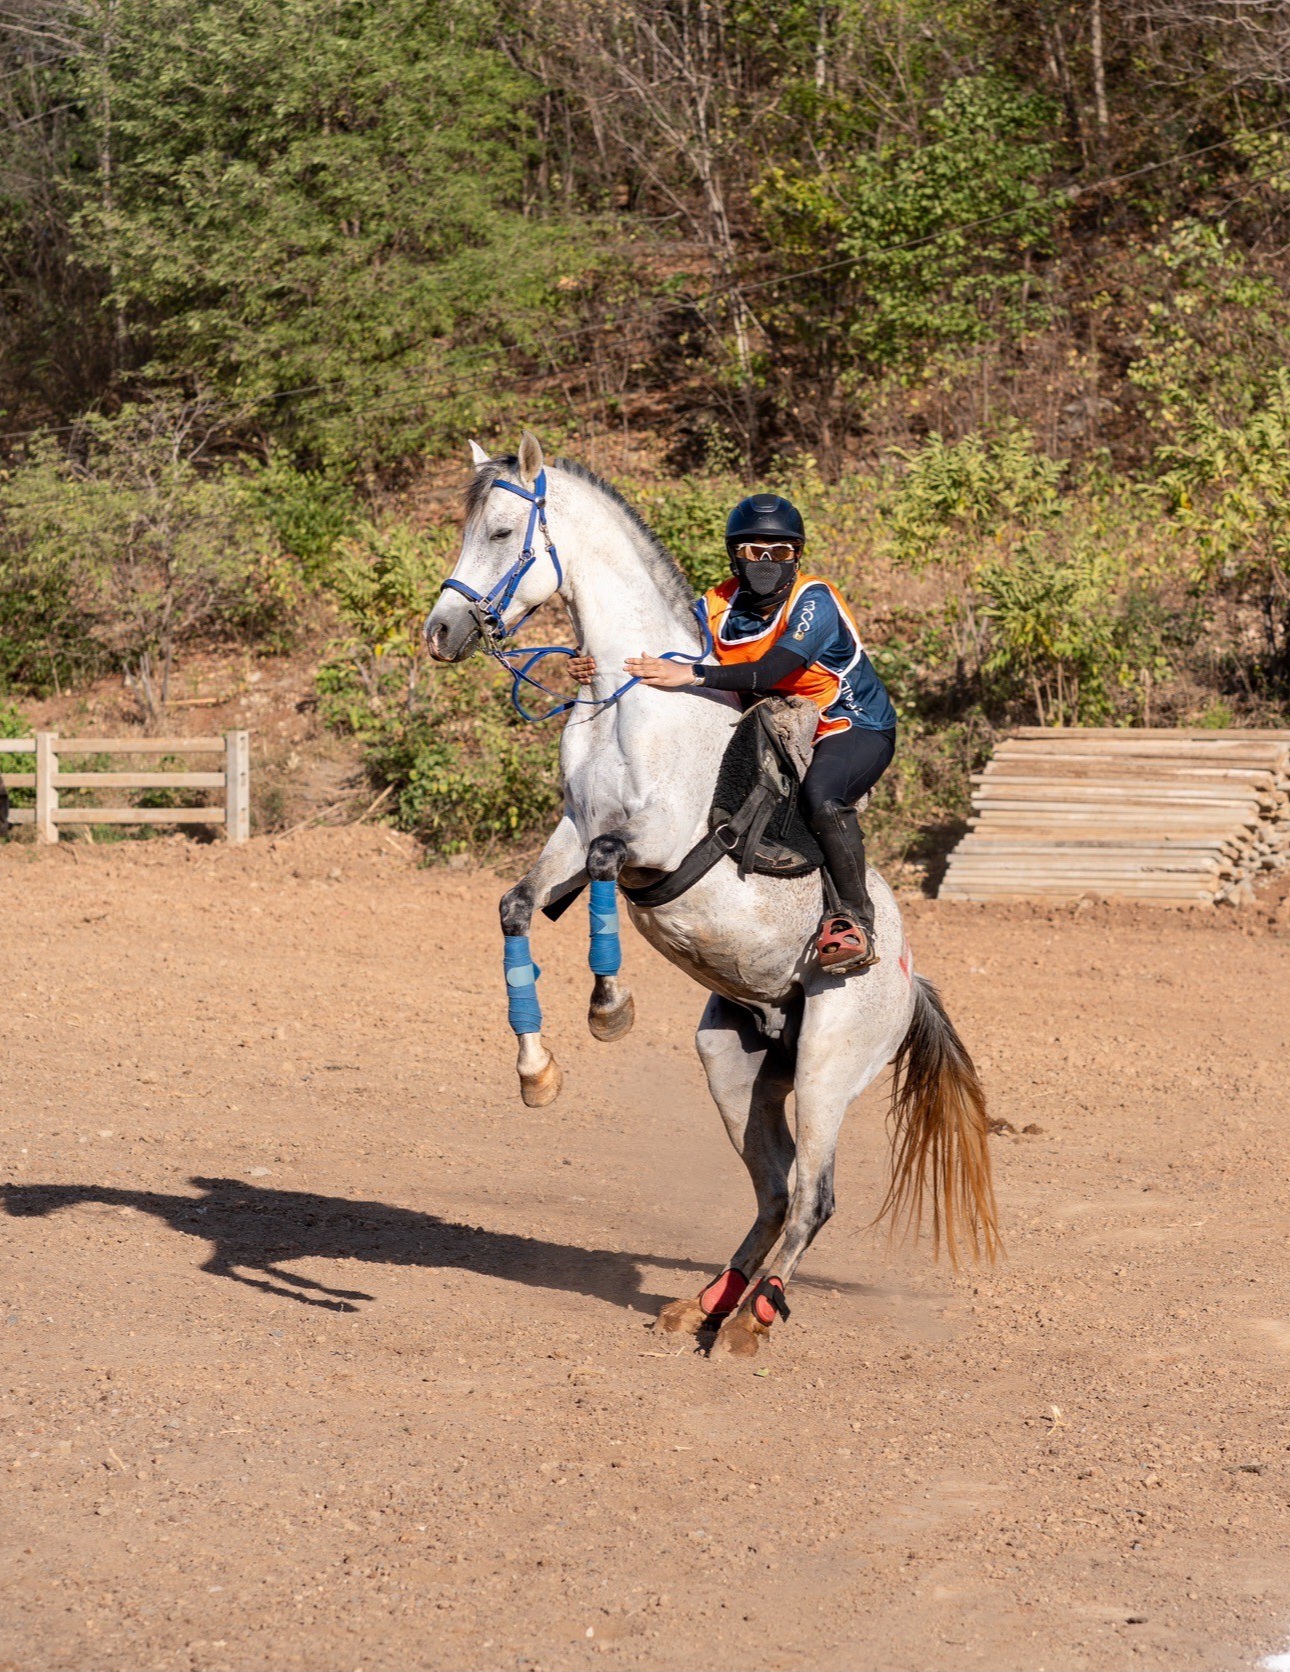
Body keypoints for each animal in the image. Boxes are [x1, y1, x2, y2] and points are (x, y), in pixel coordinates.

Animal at [424, 431, 998, 1357]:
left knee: (813, 1197)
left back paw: (752, 1322)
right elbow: (518, 906)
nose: (440, 632)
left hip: (831, 1065)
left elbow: (612, 871)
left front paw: (610, 1007)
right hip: (734, 1065)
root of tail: (912, 985)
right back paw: (704, 1305)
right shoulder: (571, 833)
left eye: (505, 532)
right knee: (774, 1191)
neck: (624, 704)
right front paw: (537, 1072)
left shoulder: (652, 843)